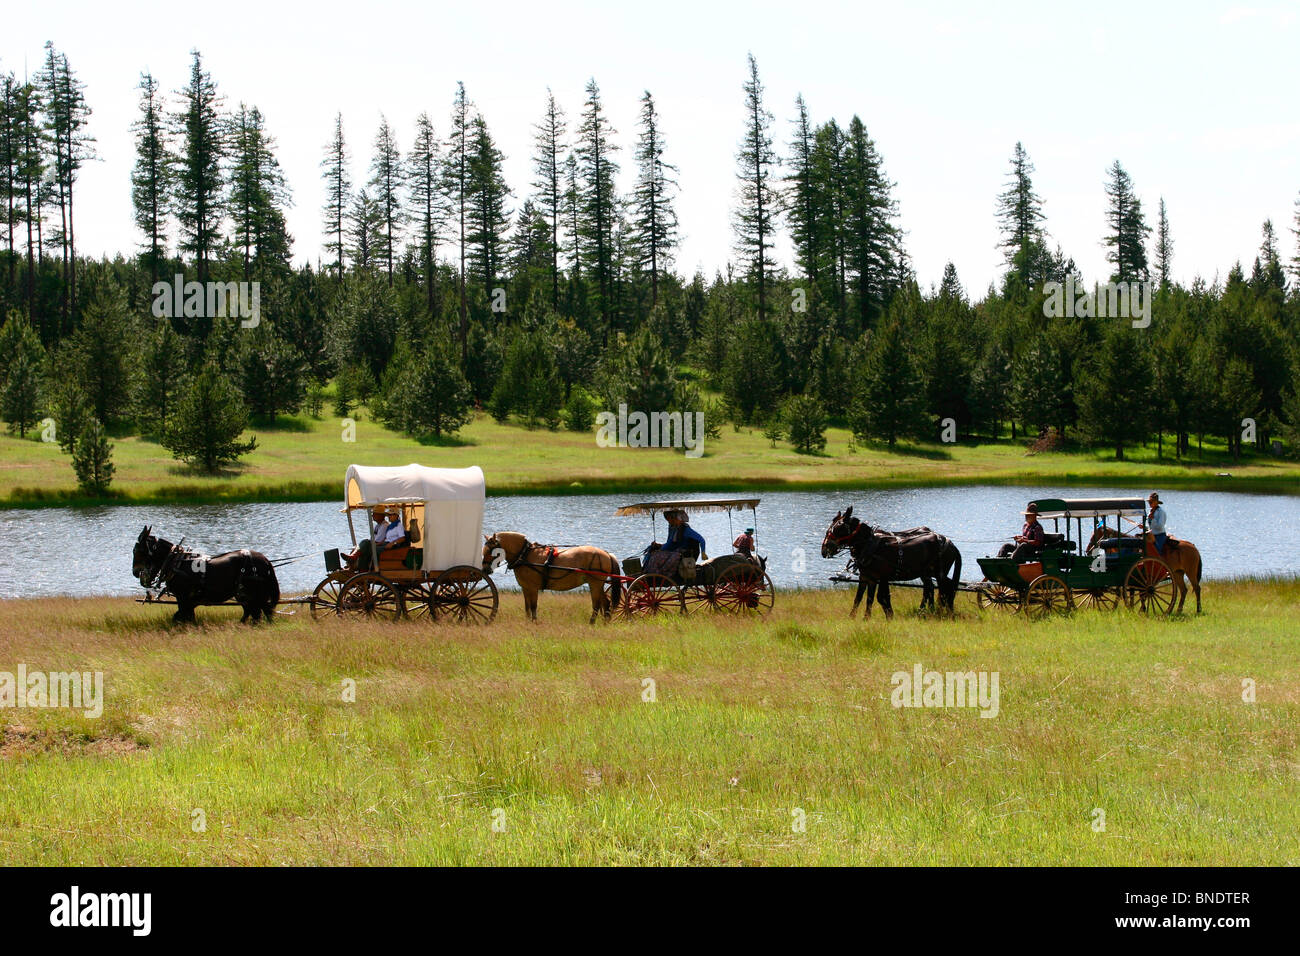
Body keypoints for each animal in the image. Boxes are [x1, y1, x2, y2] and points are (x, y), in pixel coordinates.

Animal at [131, 528, 279, 624]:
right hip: (245, 594)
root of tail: (265, 560)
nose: (135, 572)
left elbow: (181, 616)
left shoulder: (183, 598)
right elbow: (185, 616)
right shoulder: (188, 601)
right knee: (254, 612)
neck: (176, 562)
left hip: (254, 594)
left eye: (137, 550)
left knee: (260, 612)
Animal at [486, 530, 621, 621]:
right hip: (598, 585)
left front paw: (534, 622)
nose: (485, 569)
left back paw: (592, 622)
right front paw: (528, 621)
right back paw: (605, 622)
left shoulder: (533, 588)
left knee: (597, 604)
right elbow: (527, 607)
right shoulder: (526, 588)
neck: (525, 555)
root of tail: (606, 554)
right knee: (606, 603)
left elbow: (533, 606)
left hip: (595, 584)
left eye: (490, 550)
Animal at [821, 509, 967, 621]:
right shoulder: (867, 577)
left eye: (839, 528)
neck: (869, 546)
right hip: (926, 573)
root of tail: (951, 544)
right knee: (931, 589)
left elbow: (876, 598)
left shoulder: (878, 577)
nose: (824, 549)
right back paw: (927, 611)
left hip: (939, 573)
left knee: (943, 591)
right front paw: (855, 617)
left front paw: (878, 617)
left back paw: (940, 611)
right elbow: (861, 598)